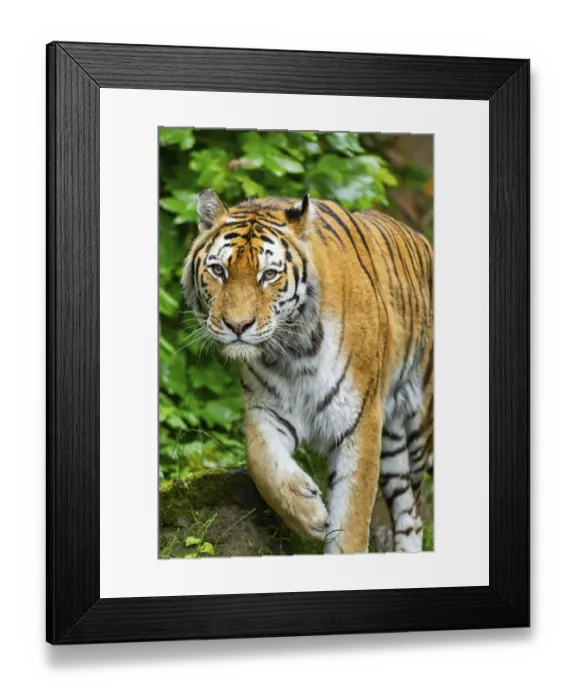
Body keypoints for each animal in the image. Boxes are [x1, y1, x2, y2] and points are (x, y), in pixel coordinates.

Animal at [182, 189, 433, 554]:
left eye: (269, 275)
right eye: (218, 270)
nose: (237, 326)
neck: (294, 354)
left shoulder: (360, 421)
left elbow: (352, 520)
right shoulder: (264, 409)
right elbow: (262, 464)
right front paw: (309, 513)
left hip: (418, 424)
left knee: (414, 506)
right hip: (393, 443)